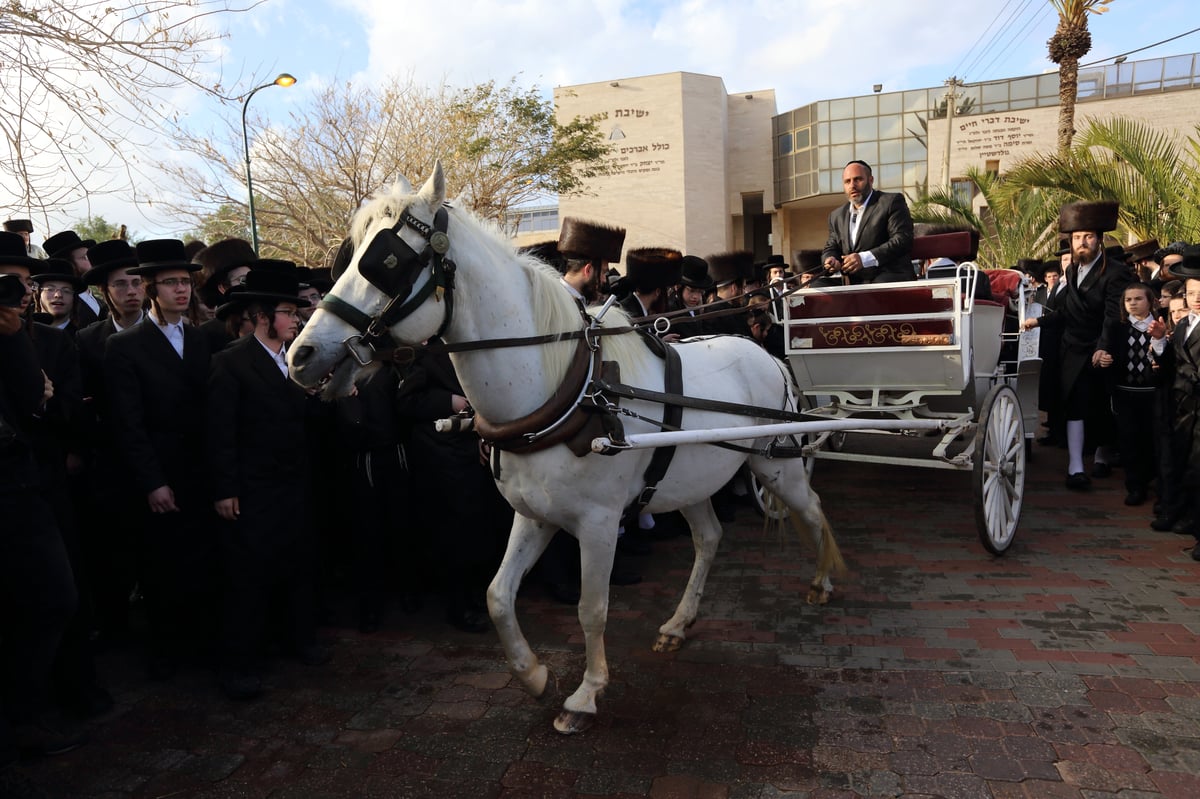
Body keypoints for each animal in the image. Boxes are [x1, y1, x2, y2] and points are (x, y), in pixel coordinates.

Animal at [289, 163, 844, 734]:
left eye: (386, 261)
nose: (301, 355)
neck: (563, 392)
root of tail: (765, 353)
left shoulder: (598, 523)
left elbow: (590, 608)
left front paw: (585, 694)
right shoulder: (534, 515)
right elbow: (497, 595)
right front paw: (533, 675)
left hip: (774, 466)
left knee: (810, 507)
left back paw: (823, 580)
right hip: (688, 479)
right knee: (709, 538)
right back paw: (678, 623)